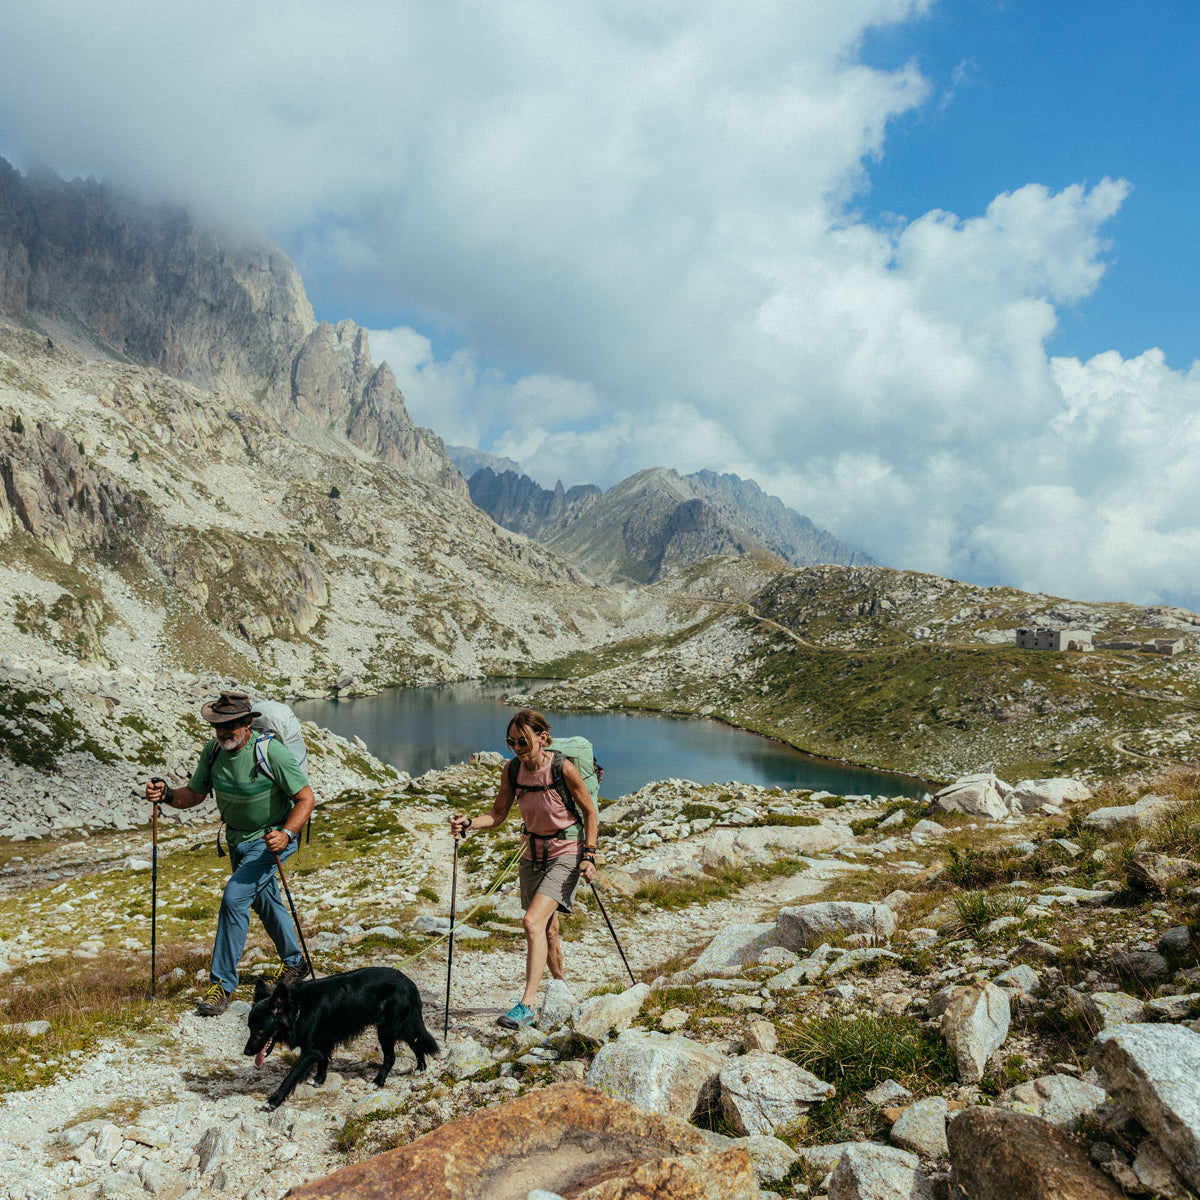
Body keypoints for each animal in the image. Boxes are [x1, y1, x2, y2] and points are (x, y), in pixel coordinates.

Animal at [242, 964, 436, 1104]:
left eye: (261, 1030)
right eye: (250, 1028)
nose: (246, 1052)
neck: (298, 1008)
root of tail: (410, 984)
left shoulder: (310, 1050)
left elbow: (291, 1076)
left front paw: (274, 1100)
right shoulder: (322, 1043)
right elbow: (323, 1061)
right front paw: (319, 1080)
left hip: (387, 1030)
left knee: (391, 1057)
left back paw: (378, 1082)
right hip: (399, 1027)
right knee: (416, 1041)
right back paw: (421, 1067)